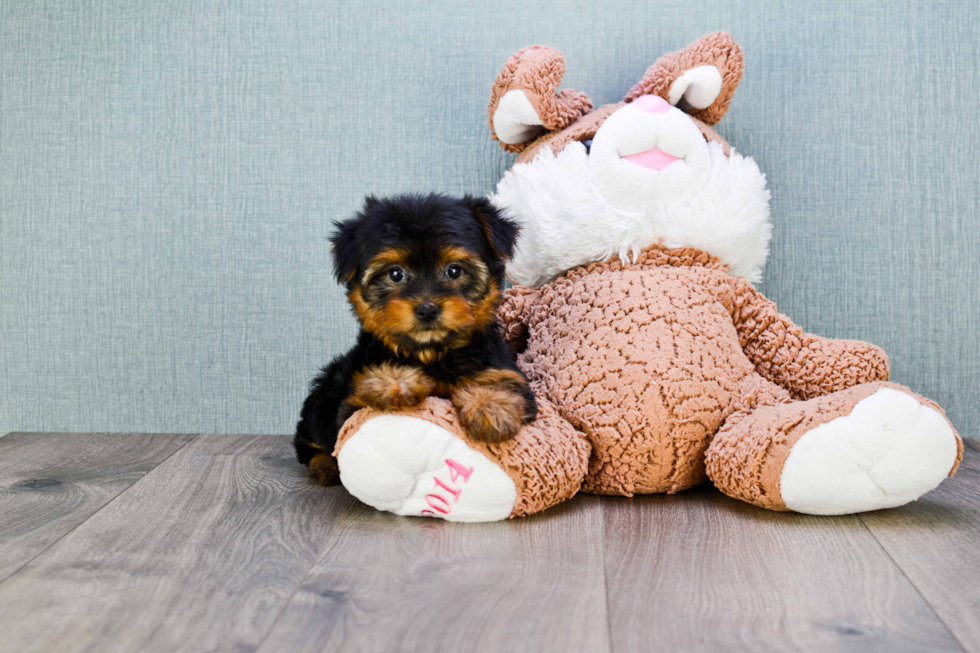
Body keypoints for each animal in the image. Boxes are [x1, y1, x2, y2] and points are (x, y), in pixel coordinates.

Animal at [294, 192, 540, 484]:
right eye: (395, 274)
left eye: (454, 271)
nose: (427, 309)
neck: (432, 352)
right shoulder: (350, 405)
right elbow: (359, 404)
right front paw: (395, 382)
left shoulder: (503, 368)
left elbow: (502, 382)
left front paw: (489, 408)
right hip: (323, 396)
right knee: (308, 440)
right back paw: (324, 466)